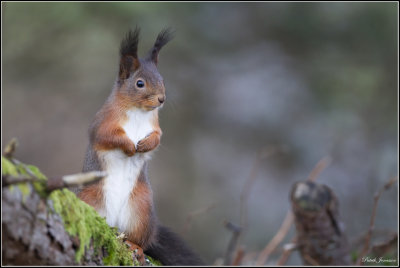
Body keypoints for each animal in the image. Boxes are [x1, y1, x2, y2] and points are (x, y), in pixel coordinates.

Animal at [77, 27, 203, 266]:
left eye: (162, 79)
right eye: (140, 83)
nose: (162, 99)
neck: (137, 111)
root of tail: (113, 223)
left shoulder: (156, 126)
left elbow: (158, 138)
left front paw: (145, 145)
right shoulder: (103, 123)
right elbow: (108, 137)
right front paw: (129, 146)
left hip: (141, 209)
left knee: (140, 239)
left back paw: (135, 246)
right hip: (91, 197)